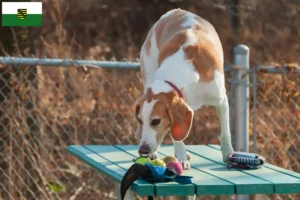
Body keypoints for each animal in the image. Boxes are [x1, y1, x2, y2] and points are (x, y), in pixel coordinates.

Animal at [134, 8, 234, 169]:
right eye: (141, 121)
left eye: (156, 121)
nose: (143, 150)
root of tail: (174, 11)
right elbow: (176, 137)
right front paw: (181, 158)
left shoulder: (222, 101)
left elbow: (225, 132)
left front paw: (228, 154)